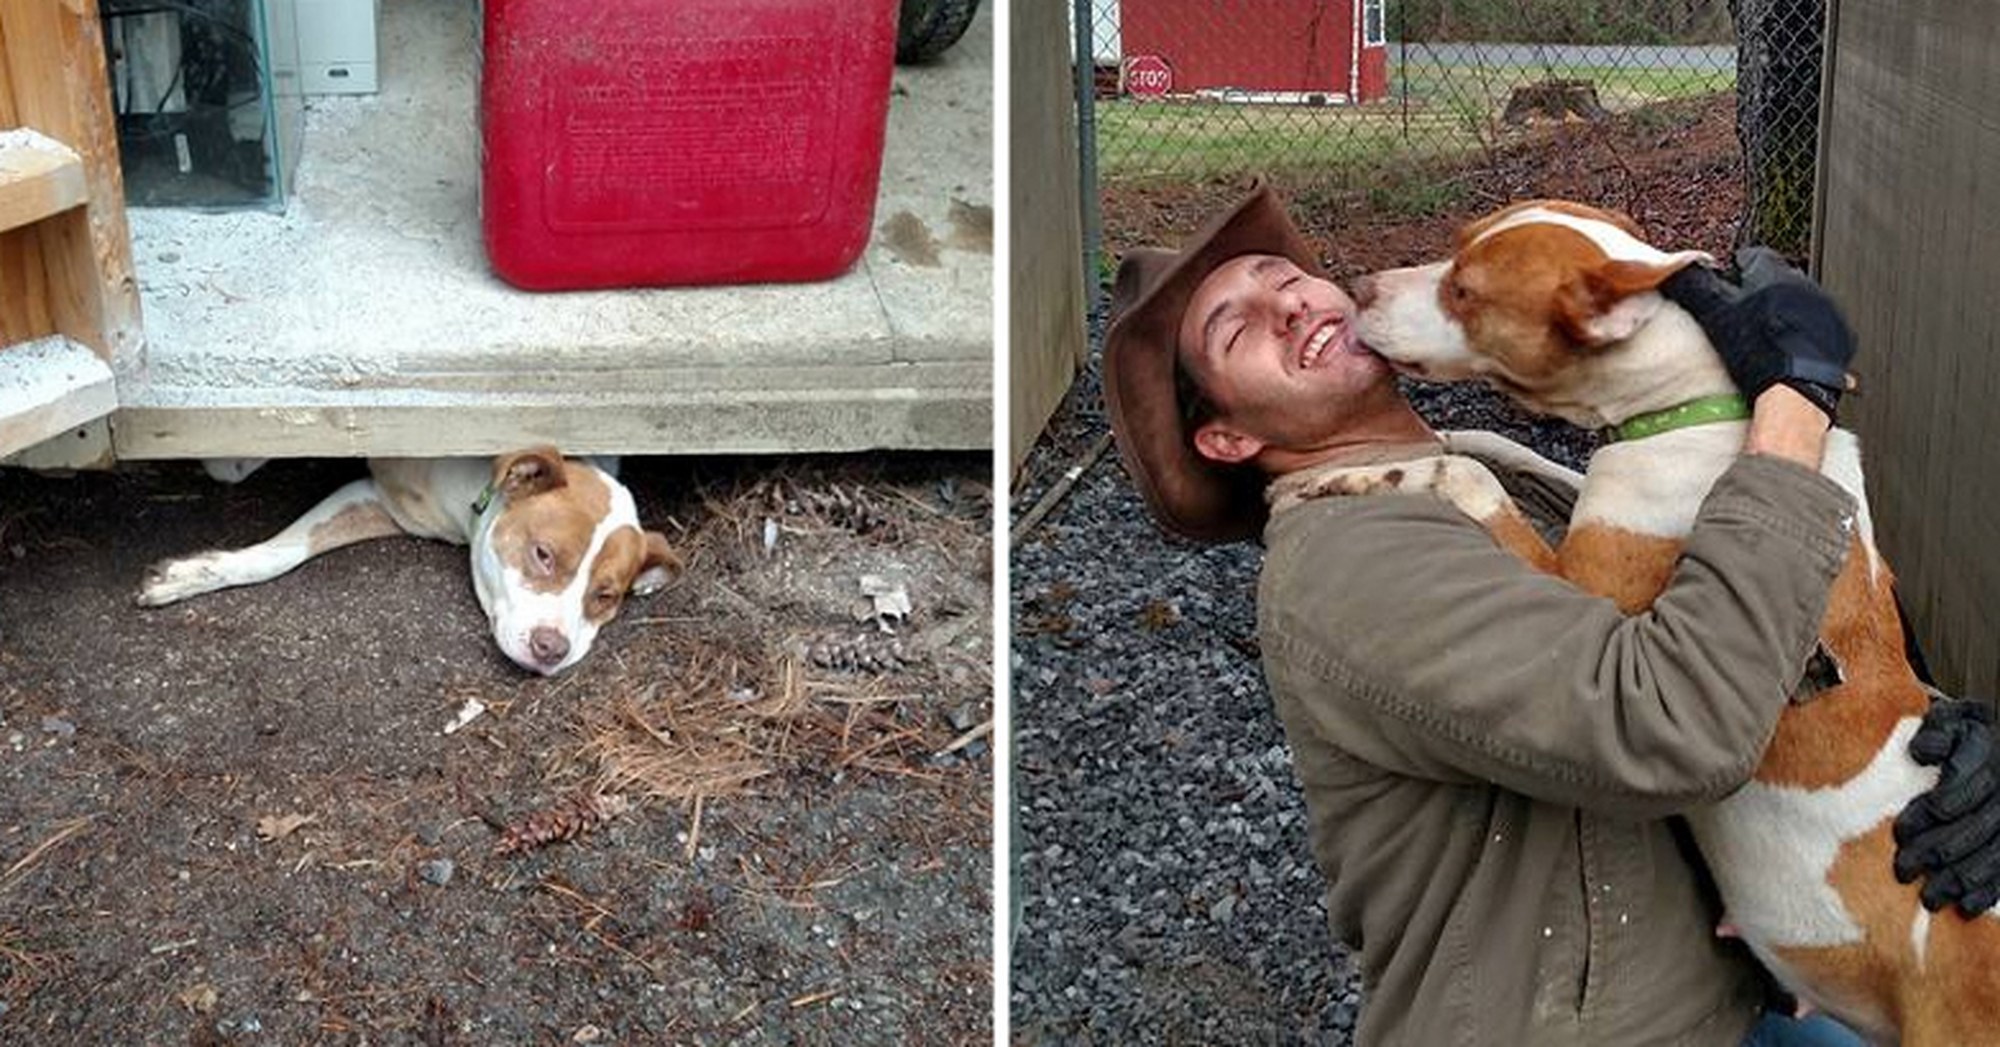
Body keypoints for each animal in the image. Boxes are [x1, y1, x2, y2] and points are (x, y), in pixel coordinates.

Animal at [1344, 200, 2000, 1039]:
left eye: (1464, 292)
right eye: (1455, 251)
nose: (1360, 288)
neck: (1699, 406)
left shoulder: (1587, 609)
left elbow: (1471, 479)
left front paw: (1383, 470)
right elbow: (1509, 451)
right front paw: (1448, 434)